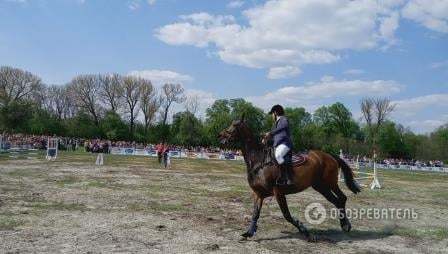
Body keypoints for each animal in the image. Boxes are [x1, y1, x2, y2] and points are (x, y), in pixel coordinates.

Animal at [217, 118, 360, 241]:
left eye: (234, 125)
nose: (220, 136)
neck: (259, 161)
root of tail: (329, 155)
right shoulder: (259, 193)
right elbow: (255, 213)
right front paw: (249, 232)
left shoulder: (278, 192)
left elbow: (287, 215)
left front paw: (305, 232)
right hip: (320, 186)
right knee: (337, 201)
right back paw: (344, 224)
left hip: (330, 183)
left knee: (342, 198)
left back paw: (346, 224)